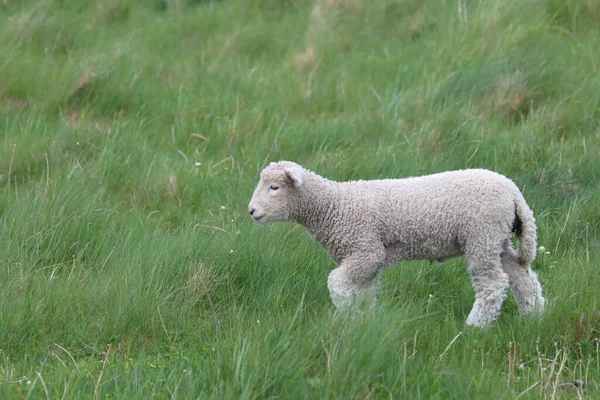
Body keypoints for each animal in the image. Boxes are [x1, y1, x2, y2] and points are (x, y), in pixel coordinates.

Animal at [246, 161, 548, 326]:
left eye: (274, 187)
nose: (251, 211)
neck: (333, 206)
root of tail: (513, 192)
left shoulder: (365, 251)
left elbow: (336, 282)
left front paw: (345, 314)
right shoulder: (368, 262)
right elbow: (366, 294)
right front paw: (362, 322)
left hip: (481, 236)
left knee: (492, 285)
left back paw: (475, 326)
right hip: (497, 239)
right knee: (522, 276)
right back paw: (533, 318)